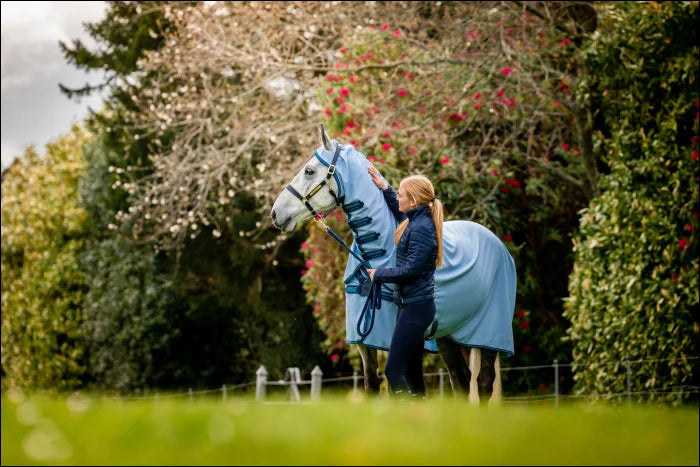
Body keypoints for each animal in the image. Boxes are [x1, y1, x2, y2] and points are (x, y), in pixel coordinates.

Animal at [271, 124, 516, 404]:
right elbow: (371, 384)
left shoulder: (402, 339)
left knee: (484, 382)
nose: (276, 213)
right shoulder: (365, 340)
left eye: (309, 171)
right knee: (460, 379)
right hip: (446, 335)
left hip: (487, 335)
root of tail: (498, 244)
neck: (376, 254)